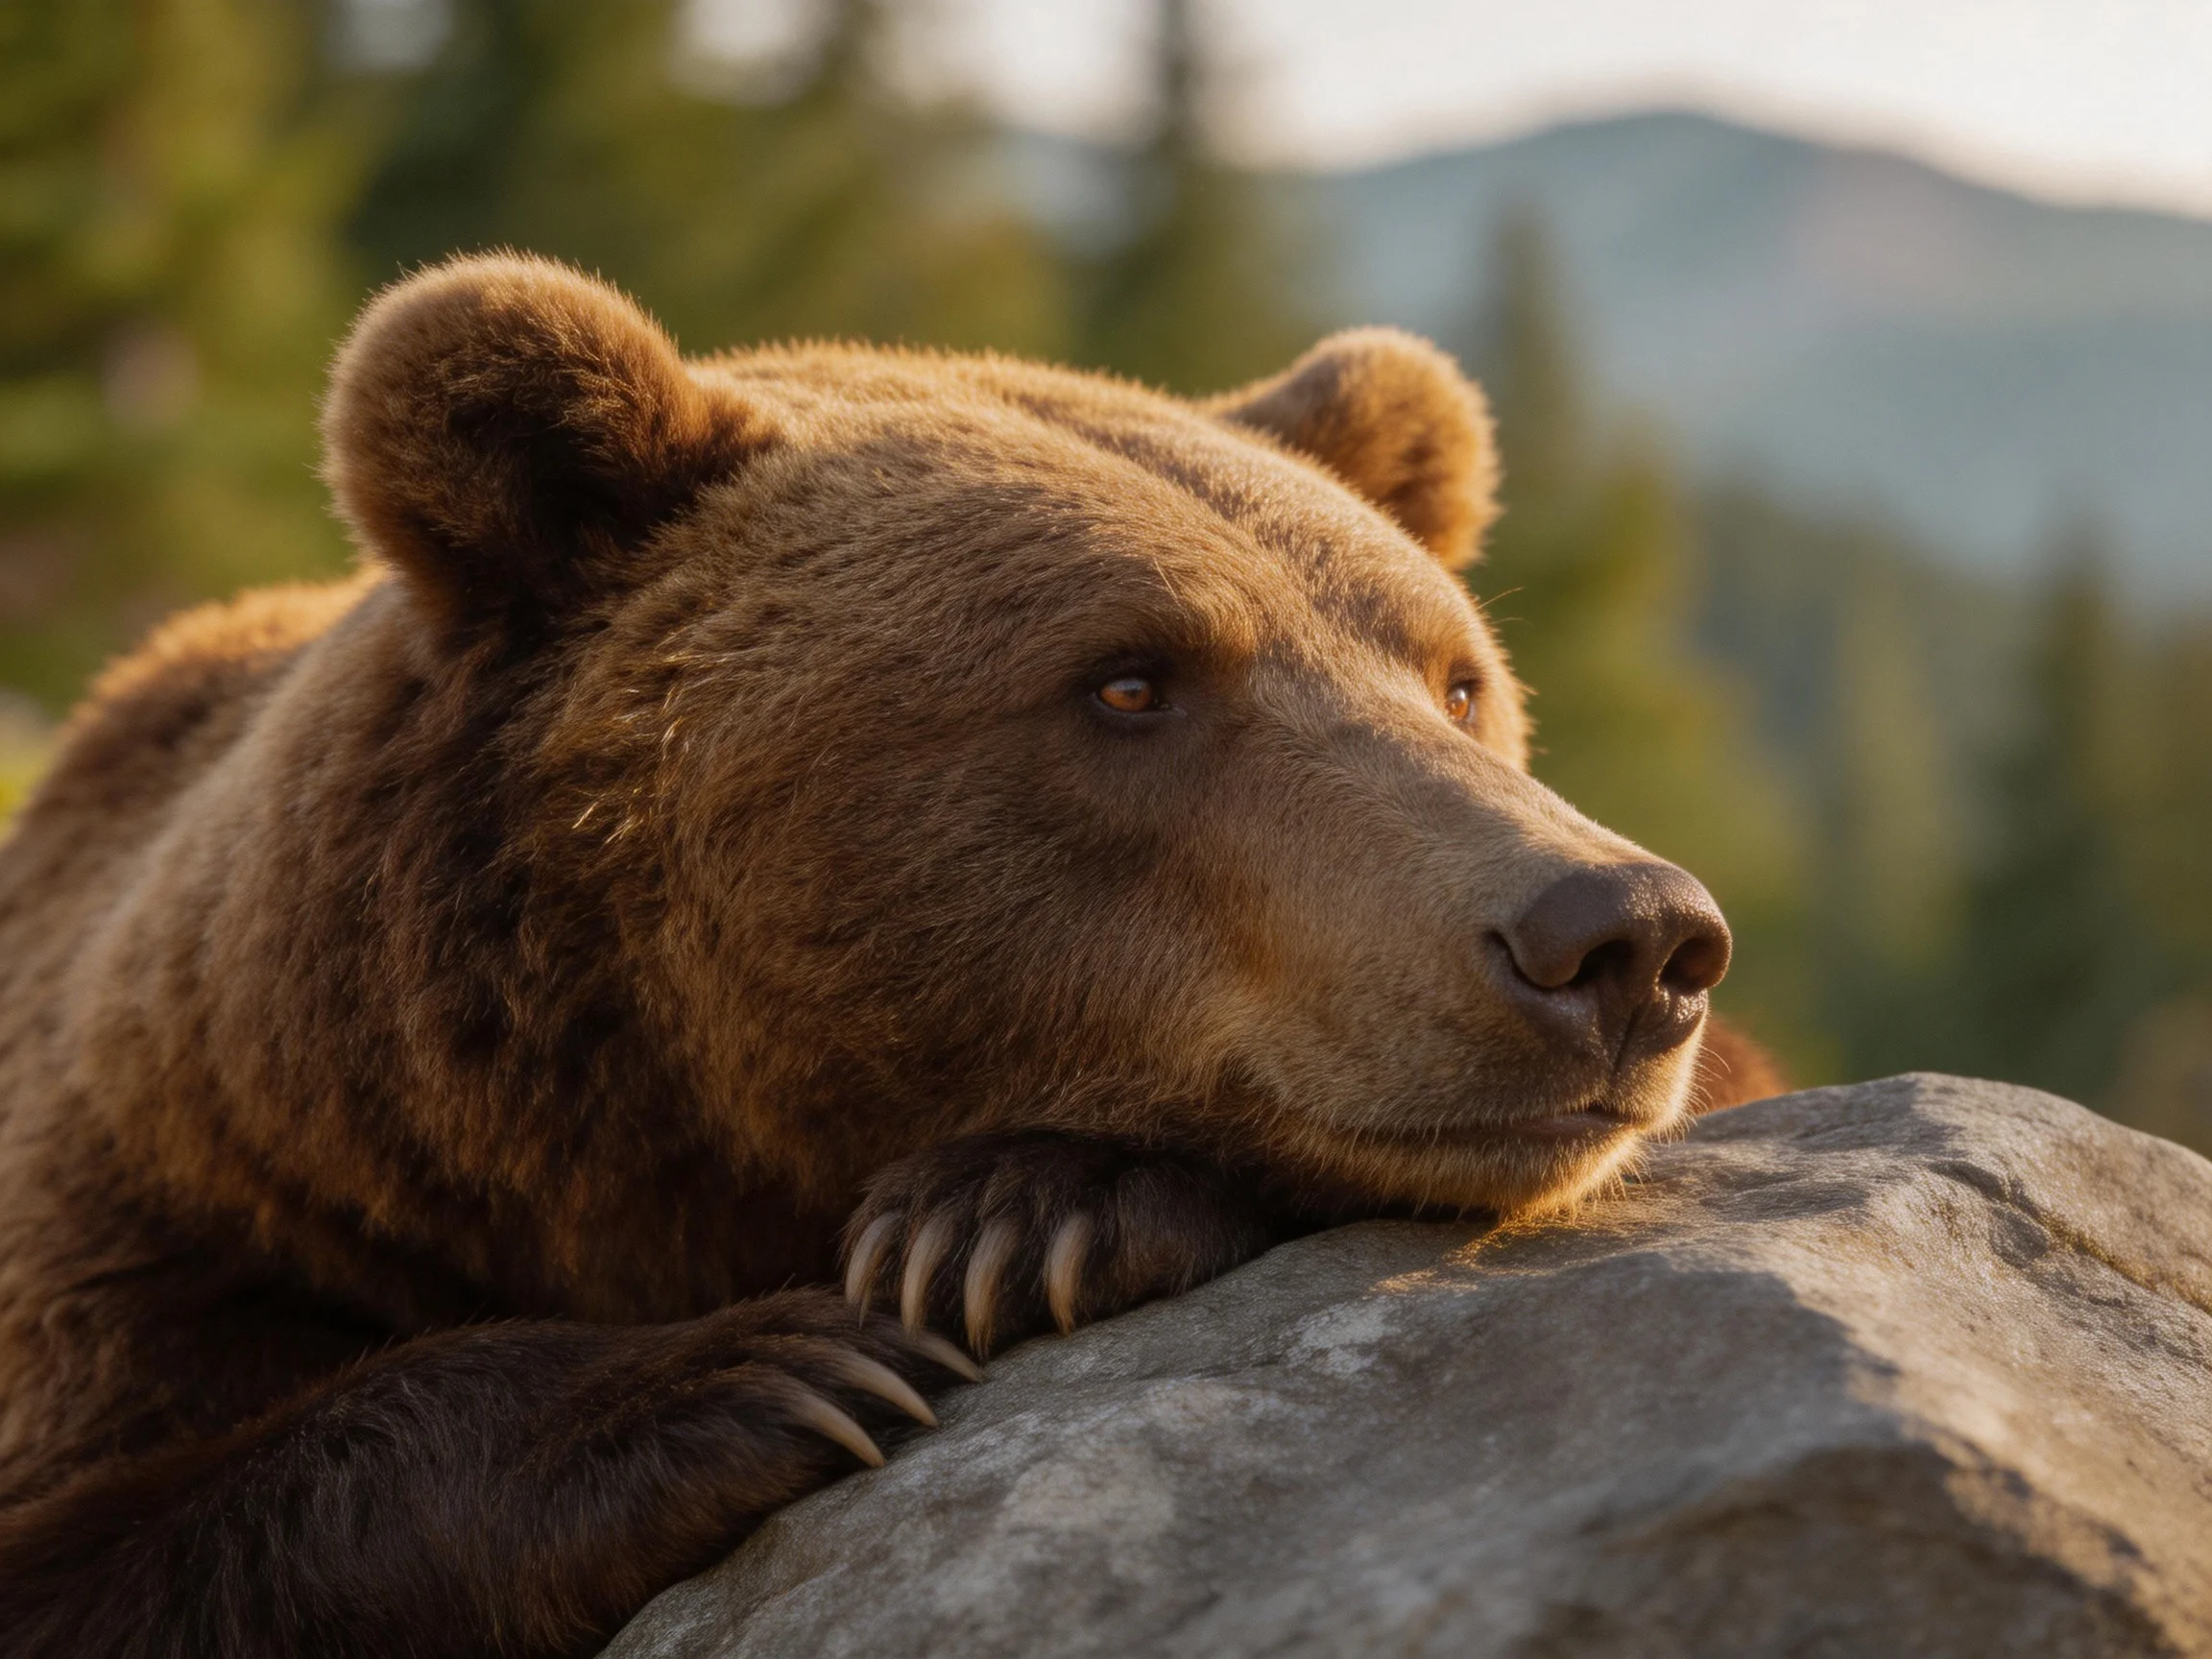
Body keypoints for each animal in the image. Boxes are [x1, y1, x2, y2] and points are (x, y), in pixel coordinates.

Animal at [0, 254, 1772, 1658]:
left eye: (1454, 676)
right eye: (1129, 680)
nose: (1619, 935)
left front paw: (1014, 1217)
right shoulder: (179, 1208)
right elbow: (106, 1528)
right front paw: (758, 1376)